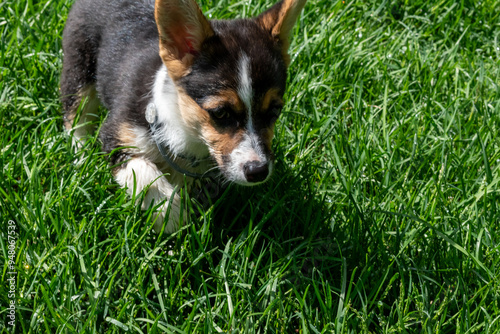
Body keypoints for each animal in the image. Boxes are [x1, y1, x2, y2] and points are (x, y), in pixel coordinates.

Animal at [61, 0, 306, 232]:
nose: (258, 171)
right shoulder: (116, 136)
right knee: (76, 118)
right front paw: (170, 216)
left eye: (274, 111)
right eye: (220, 113)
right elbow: (146, 176)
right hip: (78, 70)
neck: (186, 130)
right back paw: (80, 157)